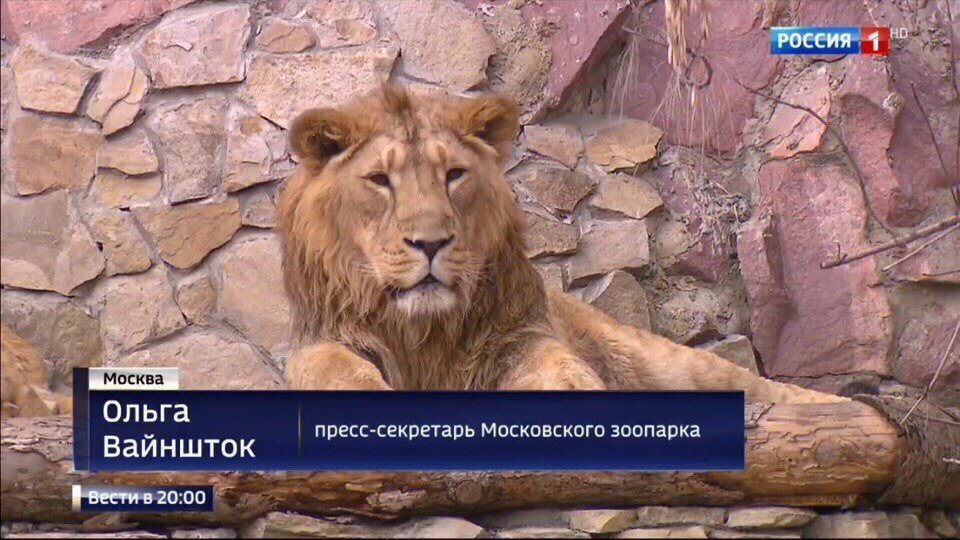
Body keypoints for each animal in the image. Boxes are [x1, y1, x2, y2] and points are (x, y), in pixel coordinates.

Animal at [277, 85, 843, 404]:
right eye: (379, 180)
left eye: (454, 175)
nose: (431, 243)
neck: (424, 332)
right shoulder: (325, 337)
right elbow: (327, 366)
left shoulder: (519, 335)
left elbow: (559, 363)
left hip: (657, 360)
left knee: (760, 389)